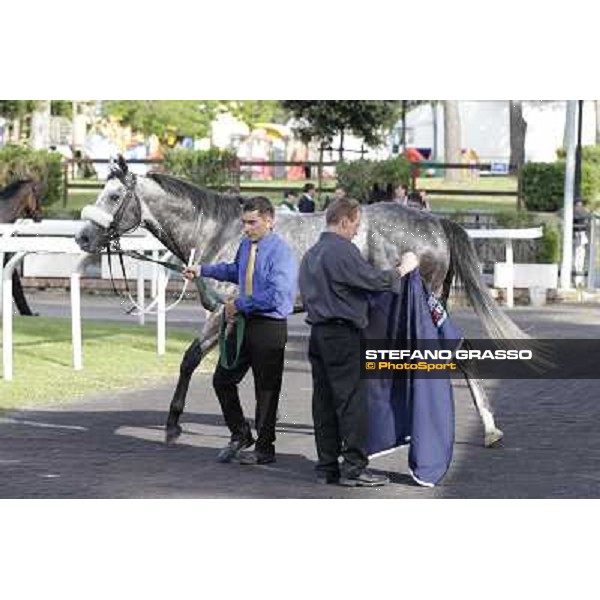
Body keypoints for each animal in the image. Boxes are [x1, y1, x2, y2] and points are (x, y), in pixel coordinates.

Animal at [75, 157, 528, 448]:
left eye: (113, 196)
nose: (82, 237)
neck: (221, 231)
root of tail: (435, 222)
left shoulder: (223, 312)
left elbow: (190, 360)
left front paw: (173, 425)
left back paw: (486, 428)